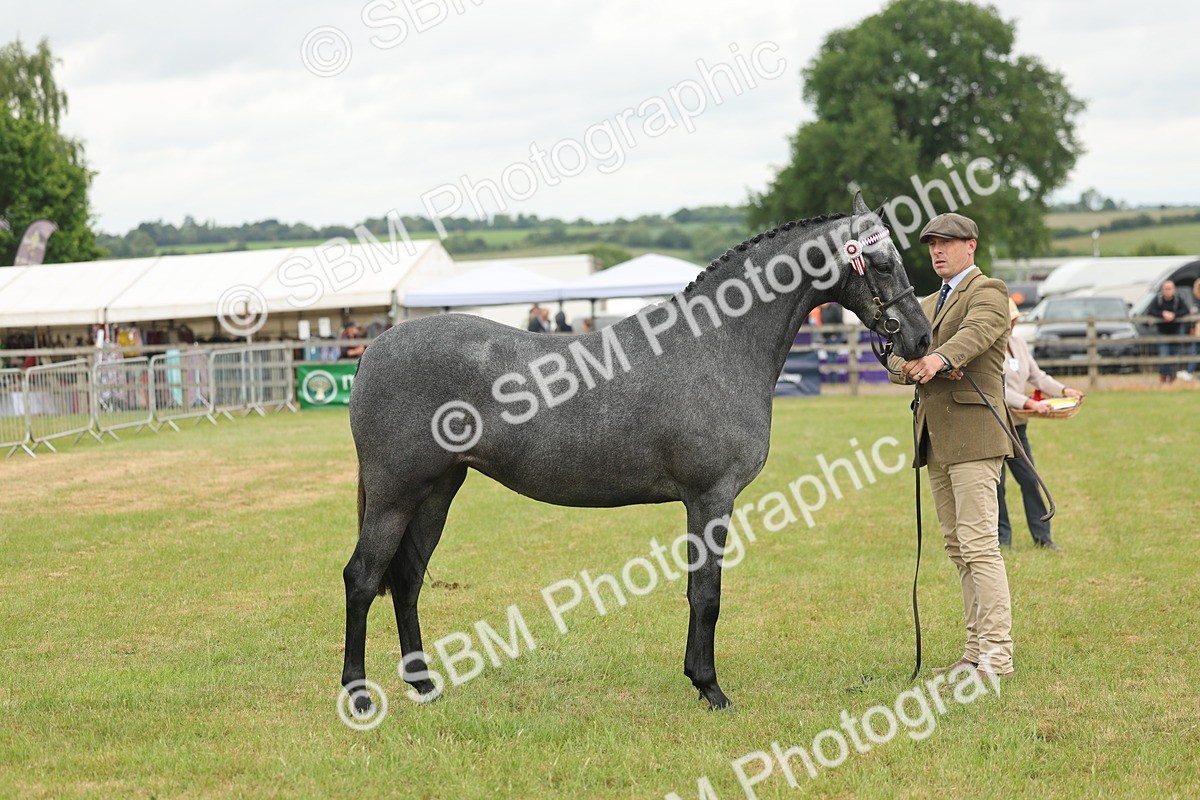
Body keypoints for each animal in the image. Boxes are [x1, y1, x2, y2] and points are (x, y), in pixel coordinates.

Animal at [342, 192, 931, 713]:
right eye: (881, 263)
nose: (921, 339)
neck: (717, 343)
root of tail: (376, 346)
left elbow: (698, 590)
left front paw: (699, 679)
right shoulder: (710, 498)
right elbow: (707, 594)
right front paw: (710, 689)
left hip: (436, 491)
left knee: (407, 580)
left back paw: (424, 685)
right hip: (396, 495)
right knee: (363, 578)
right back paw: (359, 695)